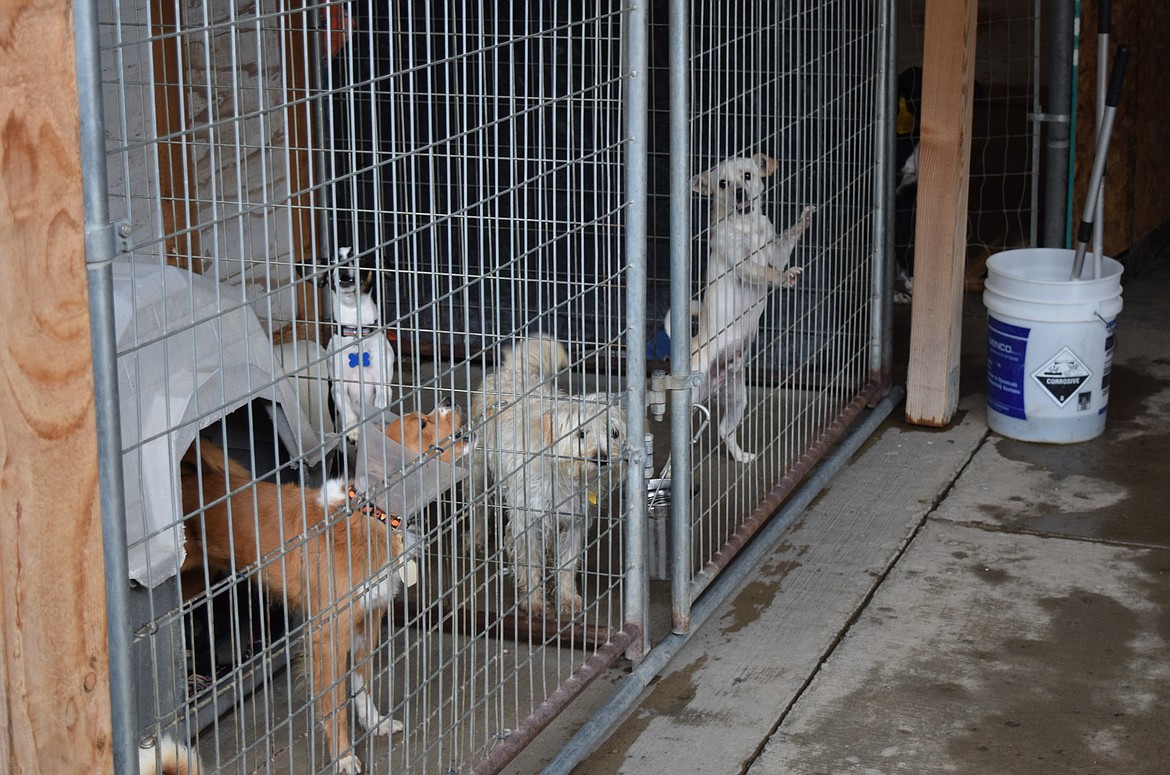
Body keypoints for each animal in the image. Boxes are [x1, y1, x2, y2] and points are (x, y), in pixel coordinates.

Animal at [179, 442, 407, 775]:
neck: (367, 518)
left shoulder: (369, 622)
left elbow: (363, 685)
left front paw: (375, 723)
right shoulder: (329, 636)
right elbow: (335, 704)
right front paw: (343, 756)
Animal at [470, 337, 627, 618]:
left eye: (614, 433)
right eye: (581, 433)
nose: (602, 458)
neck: (561, 471)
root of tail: (513, 371)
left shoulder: (576, 519)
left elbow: (567, 563)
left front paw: (567, 598)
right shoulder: (527, 520)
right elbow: (531, 563)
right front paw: (533, 603)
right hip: (478, 471)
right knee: (477, 507)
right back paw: (476, 538)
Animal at [683, 154, 819, 463]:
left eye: (747, 175)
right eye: (723, 183)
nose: (739, 193)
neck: (747, 226)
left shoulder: (774, 251)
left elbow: (785, 239)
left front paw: (803, 221)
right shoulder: (743, 265)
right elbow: (767, 272)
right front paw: (784, 278)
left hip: (737, 398)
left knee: (724, 430)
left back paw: (741, 457)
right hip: (693, 398)